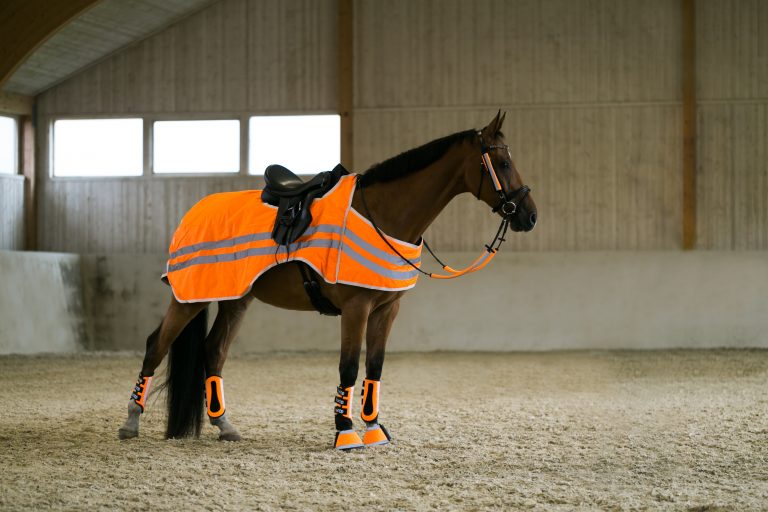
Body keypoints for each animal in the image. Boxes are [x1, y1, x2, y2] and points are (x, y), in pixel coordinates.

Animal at [118, 111, 537, 449]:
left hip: (236, 299)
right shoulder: (356, 308)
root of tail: (195, 211)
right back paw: (130, 423)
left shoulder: (387, 309)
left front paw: (374, 430)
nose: (529, 215)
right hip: (190, 297)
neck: (381, 214)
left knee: (213, 351)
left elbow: (375, 368)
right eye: (501, 161)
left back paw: (226, 427)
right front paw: (345, 432)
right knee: (156, 345)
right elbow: (348, 367)